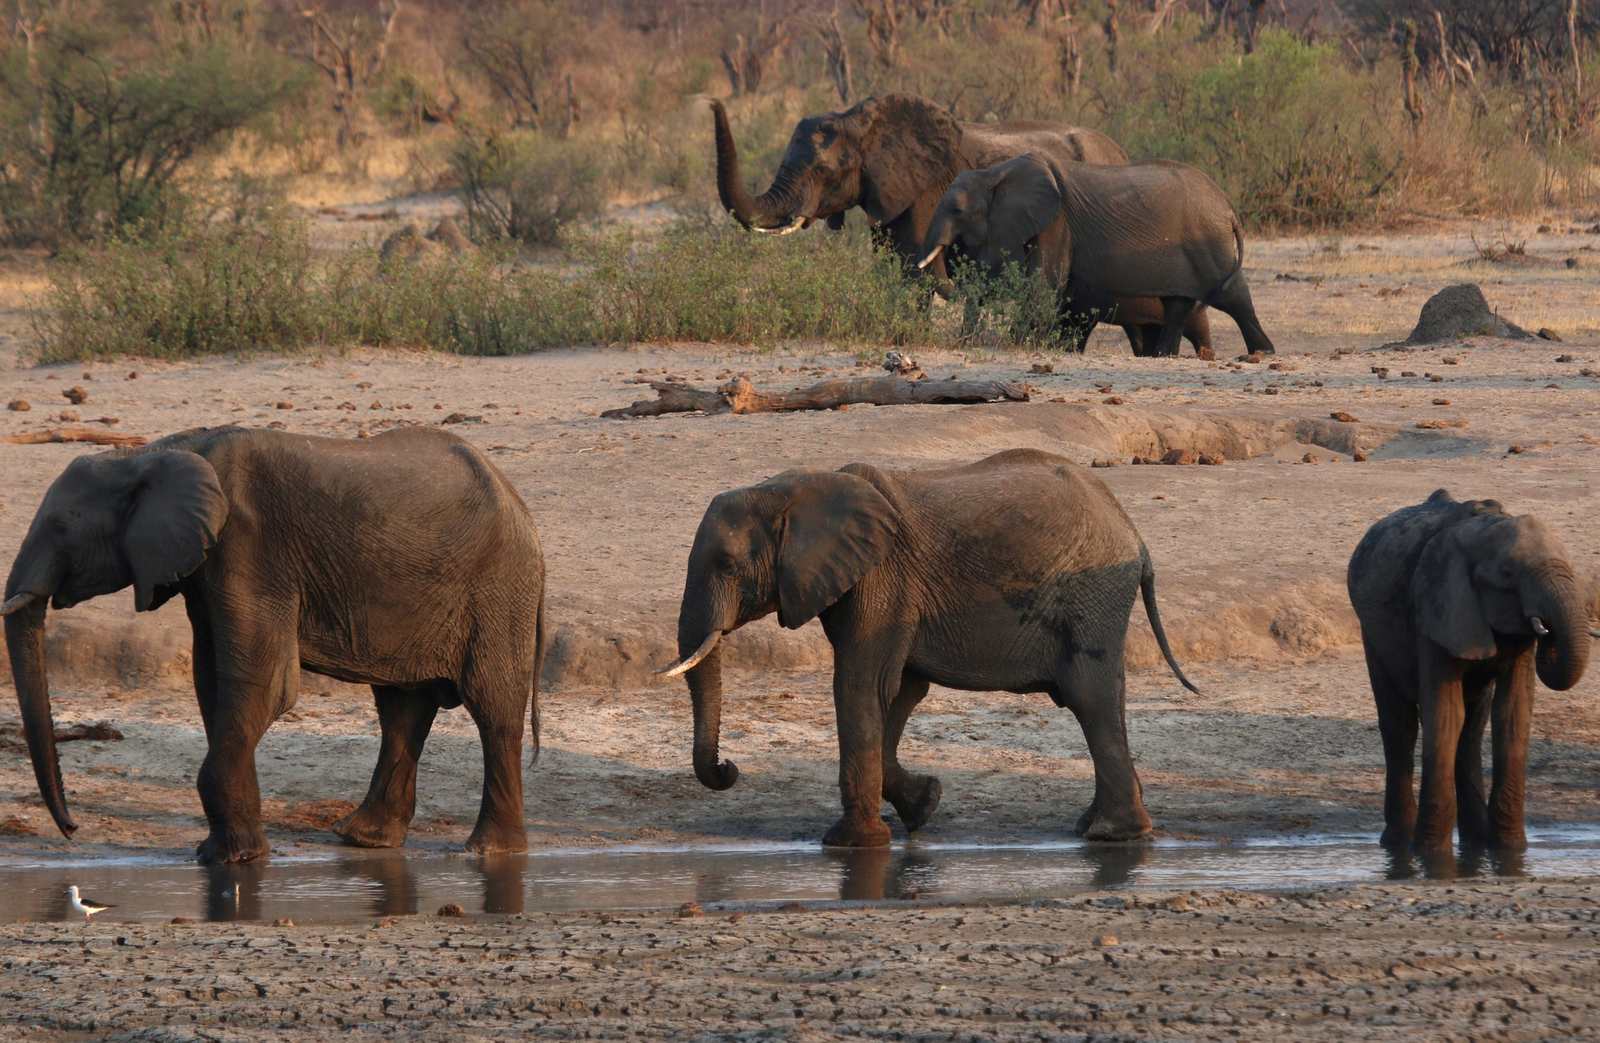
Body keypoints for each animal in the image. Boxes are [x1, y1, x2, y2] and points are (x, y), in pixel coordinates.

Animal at [3, 425, 546, 864]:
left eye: (61, 528)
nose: (71, 829)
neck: (155, 452)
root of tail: (521, 507)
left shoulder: (249, 548)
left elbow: (263, 684)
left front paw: (231, 861)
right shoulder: (208, 565)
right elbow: (212, 681)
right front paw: (224, 853)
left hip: (499, 588)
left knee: (491, 708)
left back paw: (489, 851)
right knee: (402, 707)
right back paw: (363, 839)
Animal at [659, 448, 1198, 849]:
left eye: (727, 565)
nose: (729, 769)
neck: (793, 489)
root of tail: (1135, 534)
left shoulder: (881, 580)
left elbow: (861, 686)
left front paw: (850, 844)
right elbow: (899, 692)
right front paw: (925, 805)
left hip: (1093, 596)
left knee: (1090, 696)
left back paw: (1110, 834)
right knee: (1103, 698)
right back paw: (1099, 828)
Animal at [917, 153, 1275, 358]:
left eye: (957, 210)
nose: (965, 341)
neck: (994, 173)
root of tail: (1228, 207)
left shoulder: (1057, 222)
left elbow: (1043, 283)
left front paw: (1018, 344)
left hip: (1209, 243)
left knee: (1231, 295)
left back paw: (1262, 352)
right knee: (1179, 303)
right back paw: (1163, 356)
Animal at [1347, 490, 1597, 854]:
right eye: (1507, 573)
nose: (1548, 633)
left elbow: (1513, 714)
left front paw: (1511, 851)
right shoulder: (1436, 608)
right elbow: (1445, 714)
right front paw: (1431, 855)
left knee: (1472, 727)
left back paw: (1476, 842)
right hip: (1373, 633)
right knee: (1401, 726)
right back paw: (1398, 845)